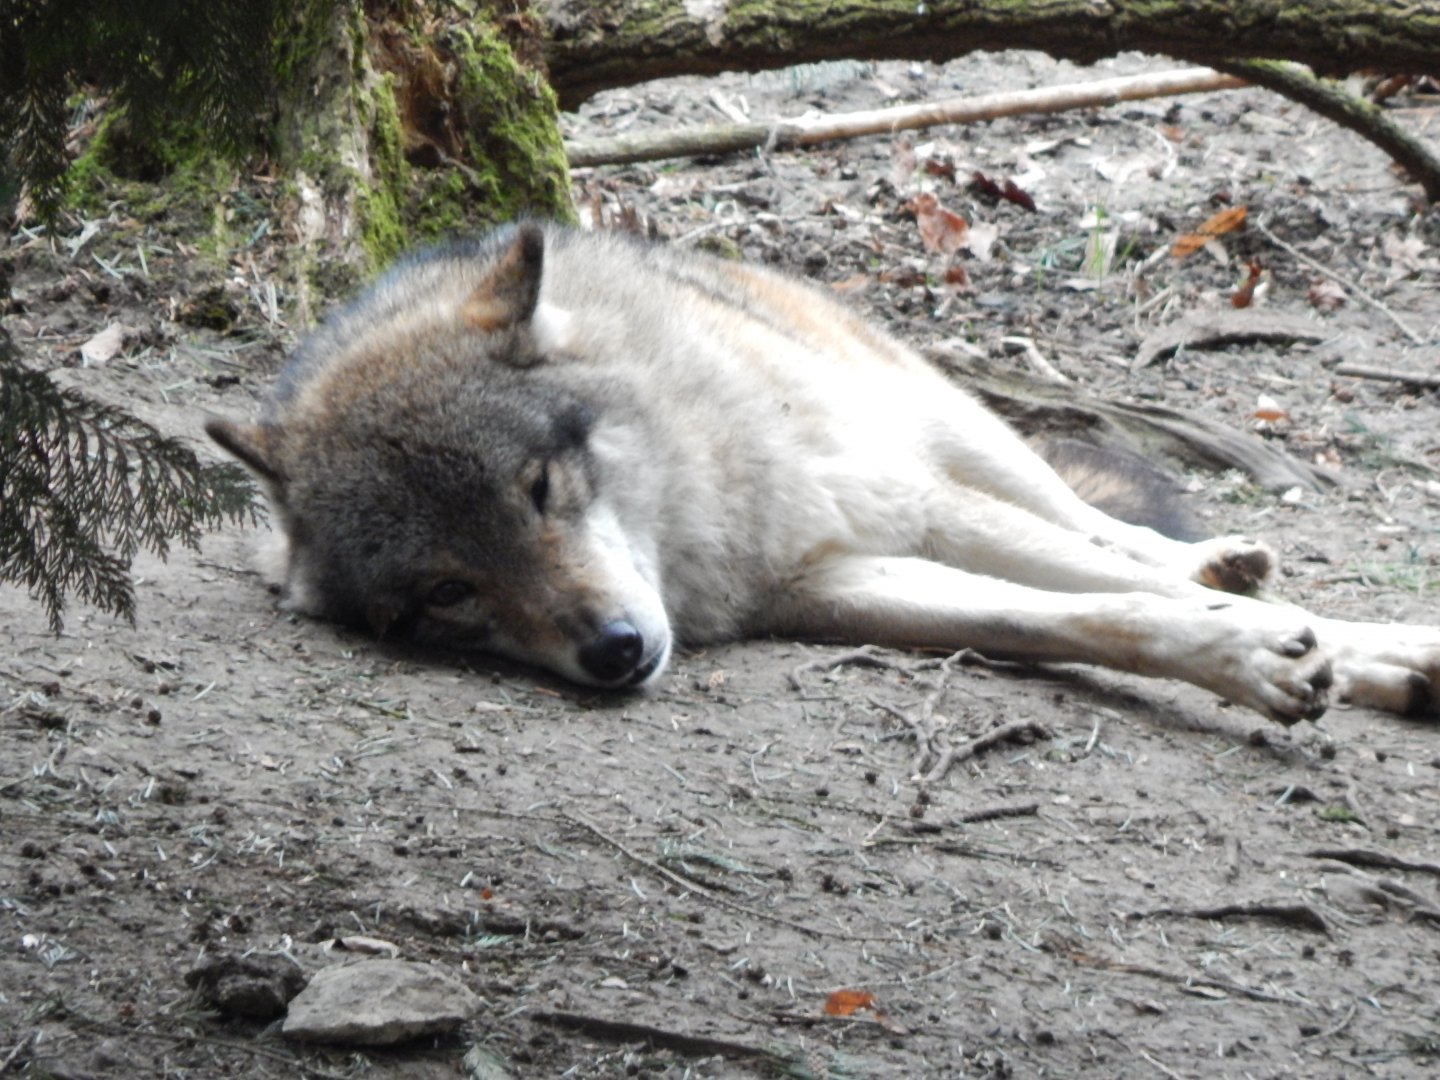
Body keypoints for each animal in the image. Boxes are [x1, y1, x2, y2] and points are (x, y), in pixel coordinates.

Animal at [207, 222, 1440, 725]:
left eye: (541, 490)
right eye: (449, 592)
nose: (615, 652)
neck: (710, 521)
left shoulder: (911, 505)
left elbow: (1125, 582)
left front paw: (1356, 642)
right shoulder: (830, 583)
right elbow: (1071, 616)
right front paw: (1273, 659)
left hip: (948, 428)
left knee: (1102, 524)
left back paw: (1231, 565)